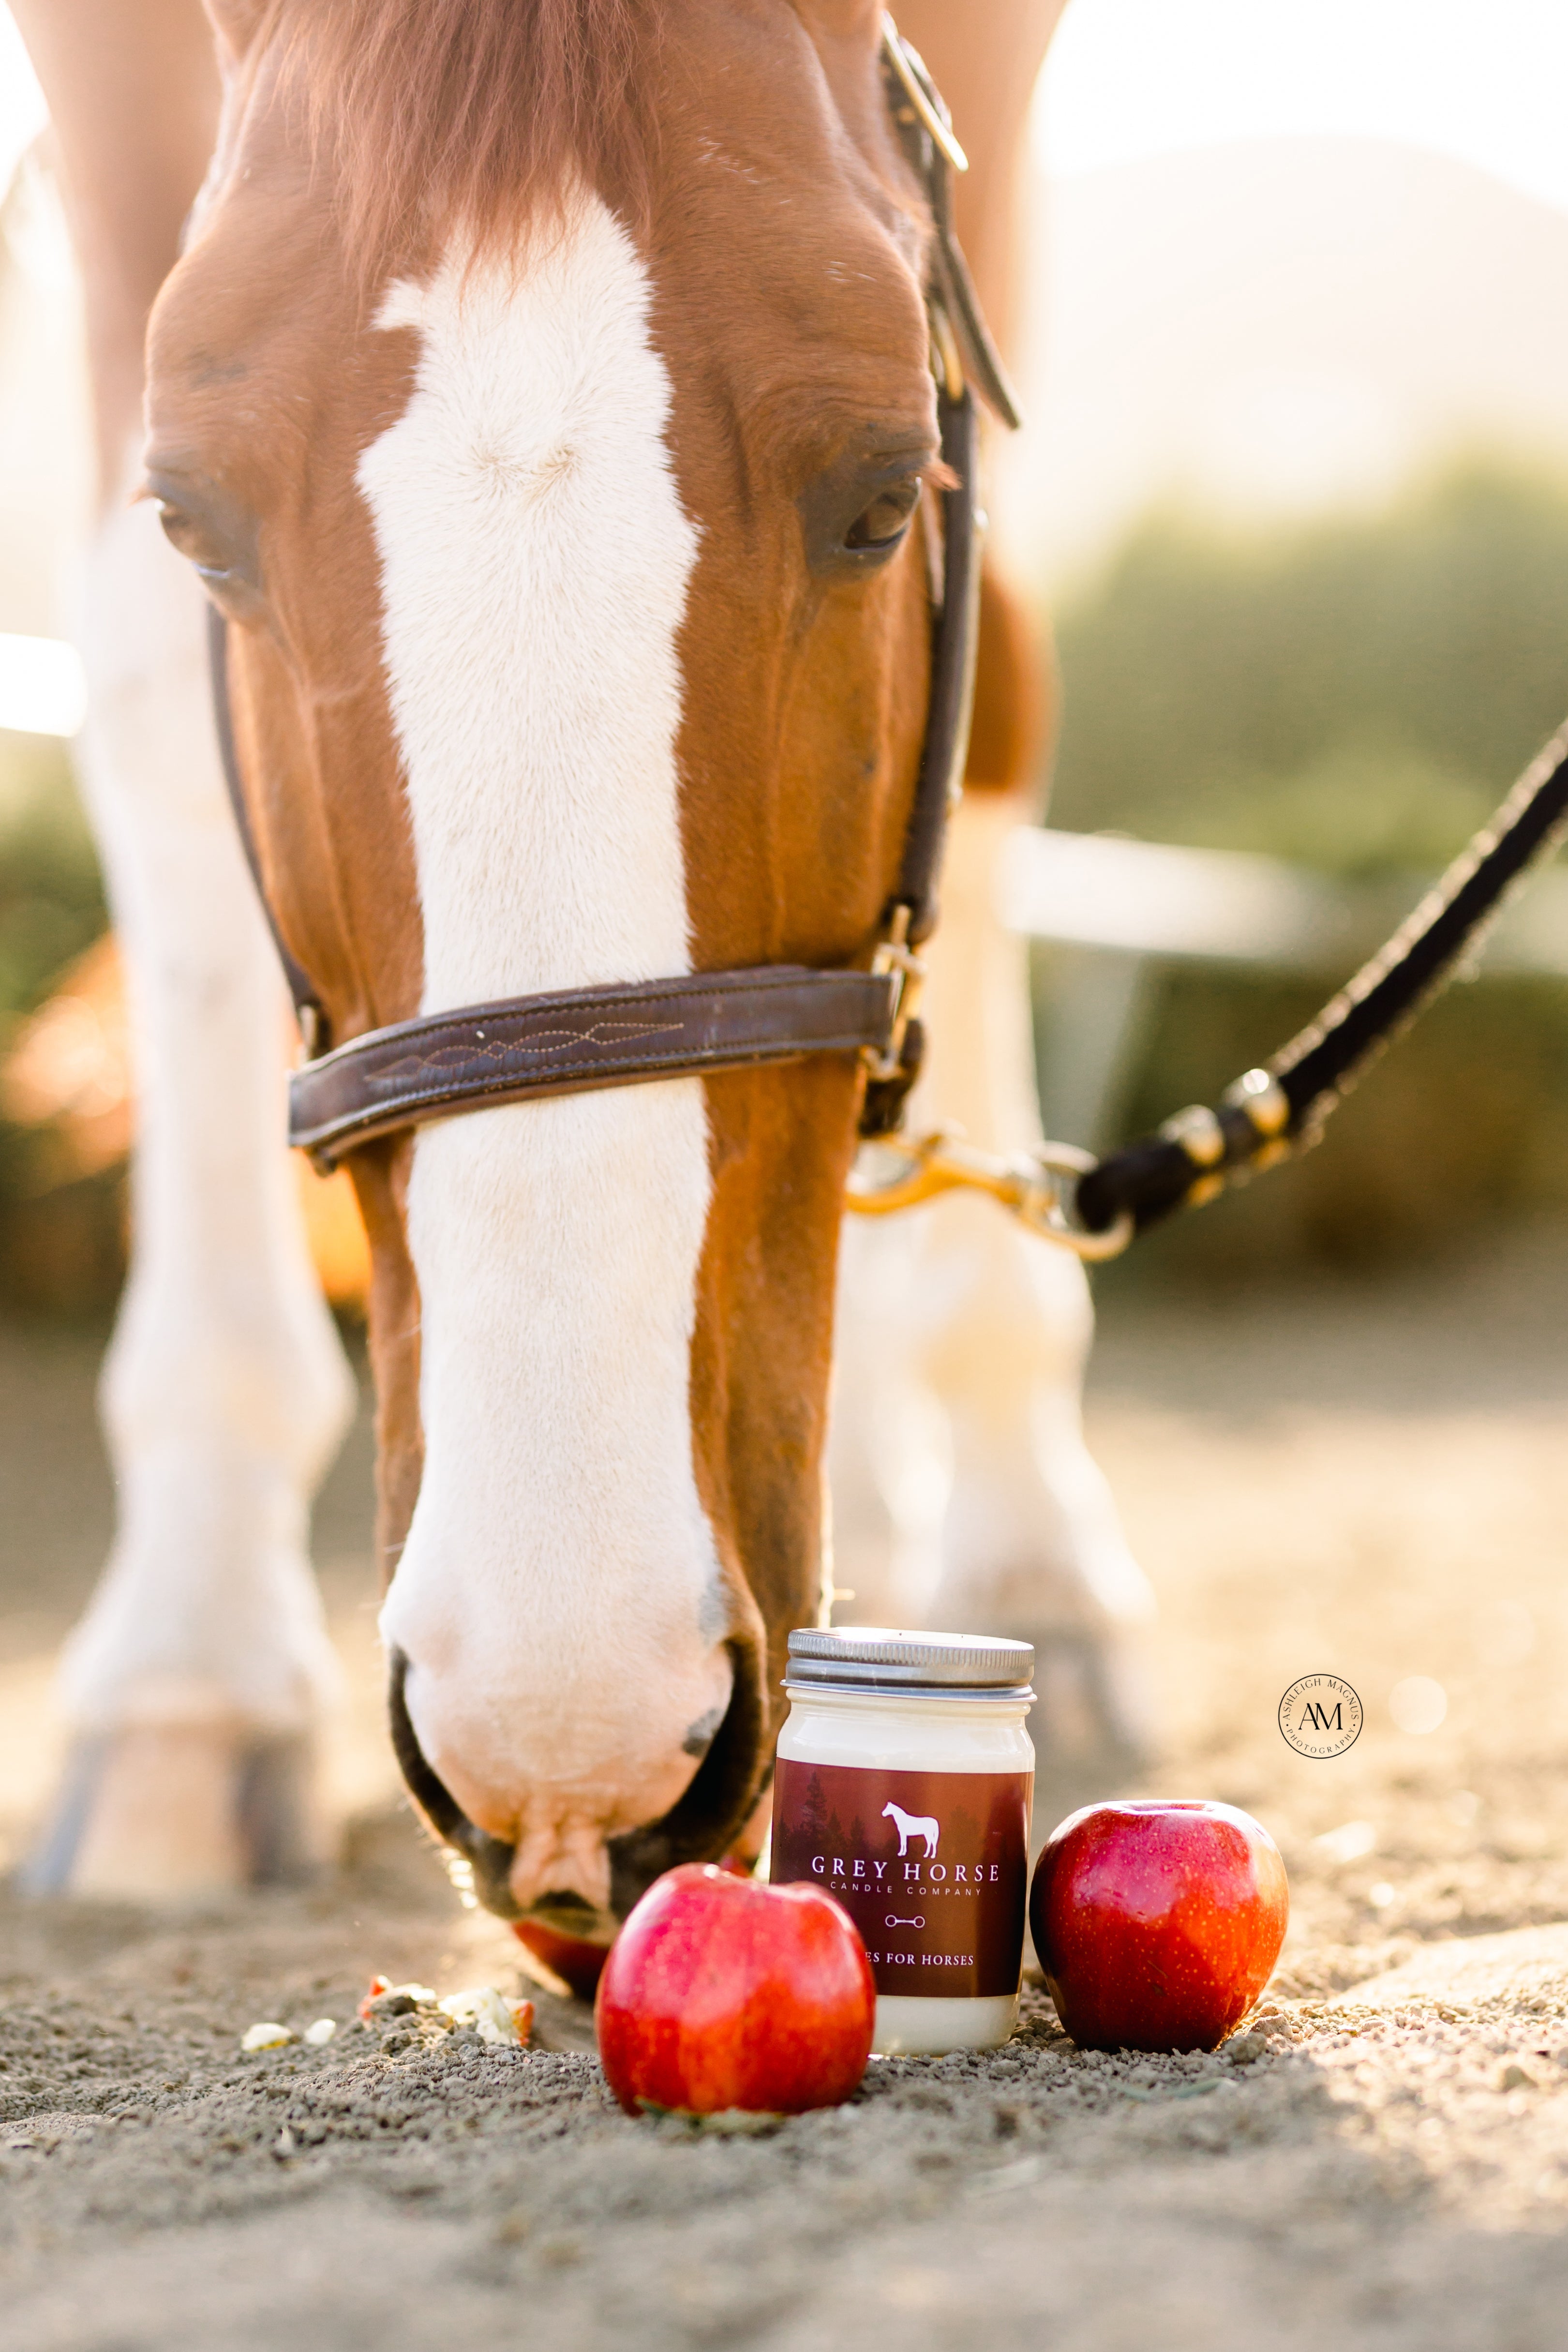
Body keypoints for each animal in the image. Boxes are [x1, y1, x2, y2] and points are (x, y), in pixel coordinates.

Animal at [14, 0, 1138, 1934]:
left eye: (882, 493)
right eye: (195, 520)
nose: (571, 1735)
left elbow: (995, 652)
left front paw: (1024, 1540)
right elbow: (151, 694)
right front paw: (186, 1673)